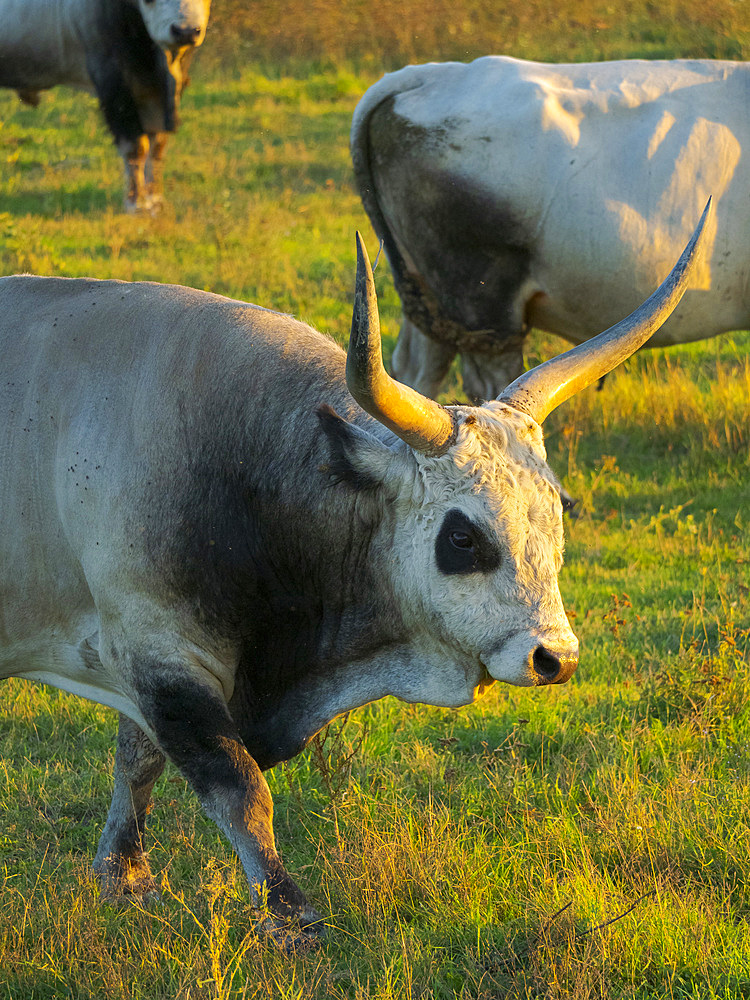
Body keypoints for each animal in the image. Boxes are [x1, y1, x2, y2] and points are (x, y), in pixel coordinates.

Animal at [0, 0, 212, 213]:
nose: (185, 31)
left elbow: (157, 145)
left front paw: (155, 200)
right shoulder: (112, 80)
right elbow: (136, 146)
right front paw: (136, 202)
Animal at [0, 209, 712, 944]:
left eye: (556, 513)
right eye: (462, 536)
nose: (556, 658)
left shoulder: (143, 659)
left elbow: (138, 759)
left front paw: (123, 877)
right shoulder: (159, 653)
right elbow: (237, 786)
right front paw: (288, 915)